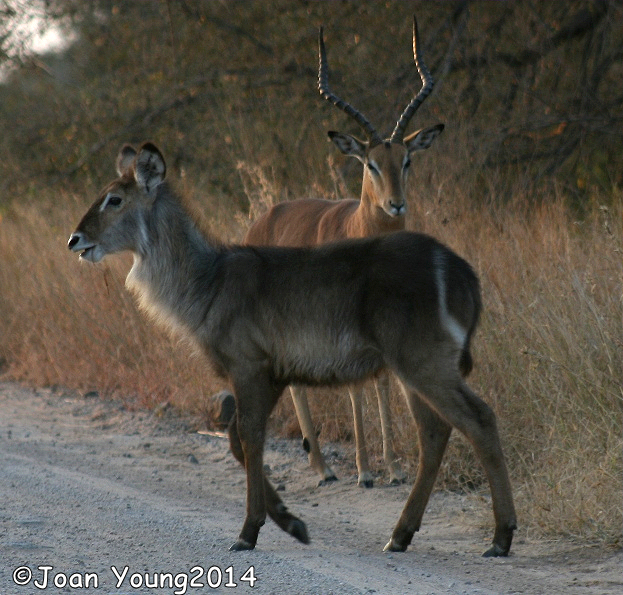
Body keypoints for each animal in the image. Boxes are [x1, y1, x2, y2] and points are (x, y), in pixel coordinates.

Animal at [67, 142, 516, 556]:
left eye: (114, 198)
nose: (75, 239)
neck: (208, 282)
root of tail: (462, 272)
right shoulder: (276, 374)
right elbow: (236, 439)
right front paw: (292, 522)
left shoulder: (248, 365)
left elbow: (249, 437)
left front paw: (249, 531)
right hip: (412, 368)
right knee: (435, 432)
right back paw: (400, 536)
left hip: (424, 362)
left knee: (479, 419)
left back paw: (500, 538)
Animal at [244, 16, 444, 488]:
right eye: (369, 163)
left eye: (407, 160)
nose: (396, 205)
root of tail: (262, 218)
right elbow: (355, 385)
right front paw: (366, 471)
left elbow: (383, 381)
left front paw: (392, 469)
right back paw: (320, 468)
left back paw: (322, 464)